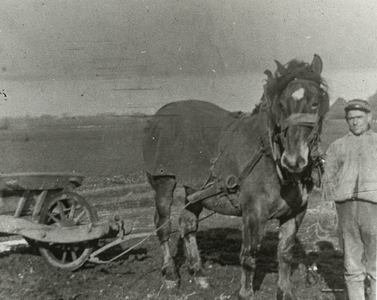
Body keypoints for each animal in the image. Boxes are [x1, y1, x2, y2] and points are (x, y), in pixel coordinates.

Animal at [141, 54, 326, 300]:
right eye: (281, 105)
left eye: (316, 103)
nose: (294, 160)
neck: (271, 156)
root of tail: (159, 115)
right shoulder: (254, 213)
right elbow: (249, 255)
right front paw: (245, 293)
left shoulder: (296, 212)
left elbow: (285, 253)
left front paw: (285, 291)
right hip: (164, 183)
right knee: (162, 225)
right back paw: (170, 274)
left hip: (196, 189)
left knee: (188, 224)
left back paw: (199, 273)